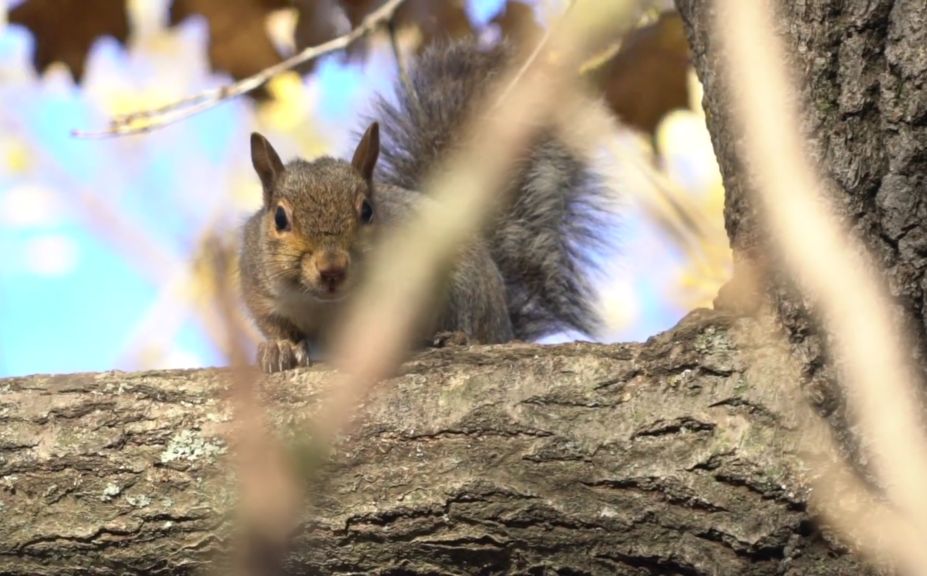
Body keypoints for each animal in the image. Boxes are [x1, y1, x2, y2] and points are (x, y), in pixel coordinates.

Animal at [241, 41, 608, 374]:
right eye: (279, 218)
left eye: (367, 211)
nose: (332, 268)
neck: (330, 306)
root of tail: (505, 323)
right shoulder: (260, 290)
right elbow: (275, 324)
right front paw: (279, 348)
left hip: (469, 286)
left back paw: (461, 338)